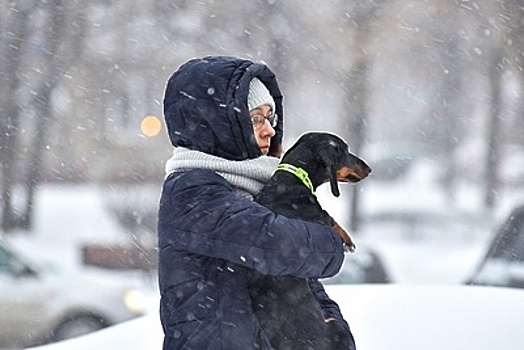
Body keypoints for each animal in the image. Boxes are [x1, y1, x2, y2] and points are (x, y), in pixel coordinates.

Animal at [248, 132, 370, 350]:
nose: (369, 168)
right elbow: (329, 217)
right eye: (346, 151)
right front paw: (348, 241)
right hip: (336, 327)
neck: (291, 180)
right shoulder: (317, 218)